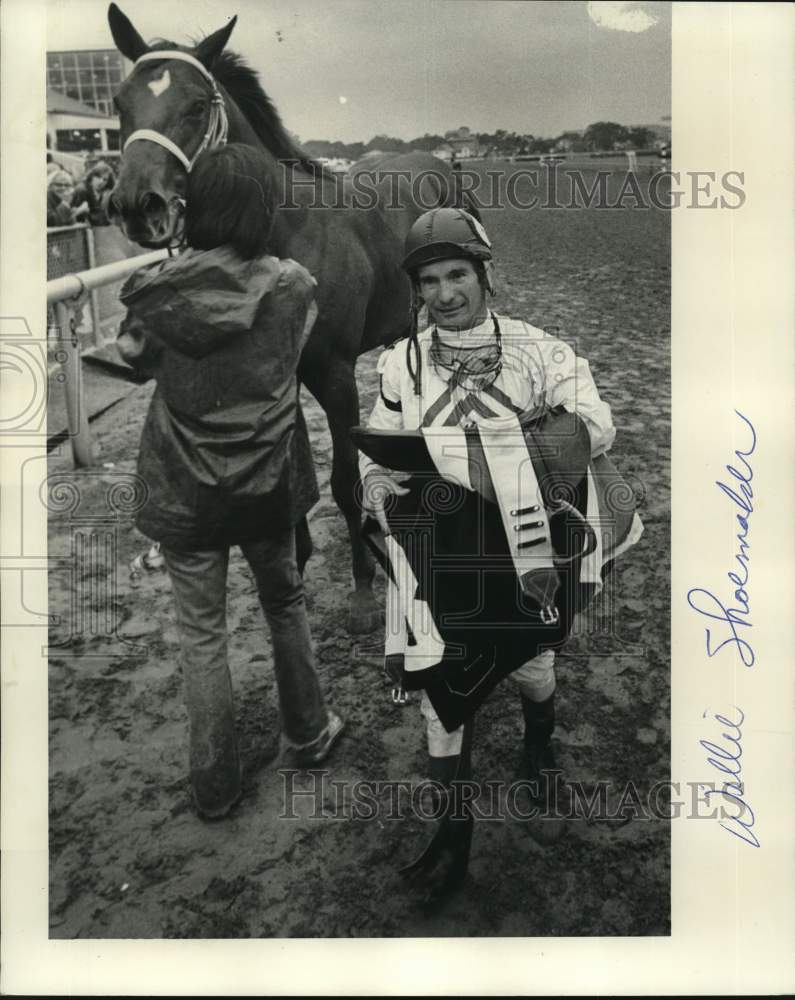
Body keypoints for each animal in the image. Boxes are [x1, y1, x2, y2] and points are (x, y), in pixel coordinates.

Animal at [105, 5, 478, 632]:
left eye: (196, 105)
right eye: (119, 102)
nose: (139, 205)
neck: (285, 232)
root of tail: (437, 162)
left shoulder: (333, 374)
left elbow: (343, 481)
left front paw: (361, 590)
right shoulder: (280, 374)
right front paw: (295, 564)